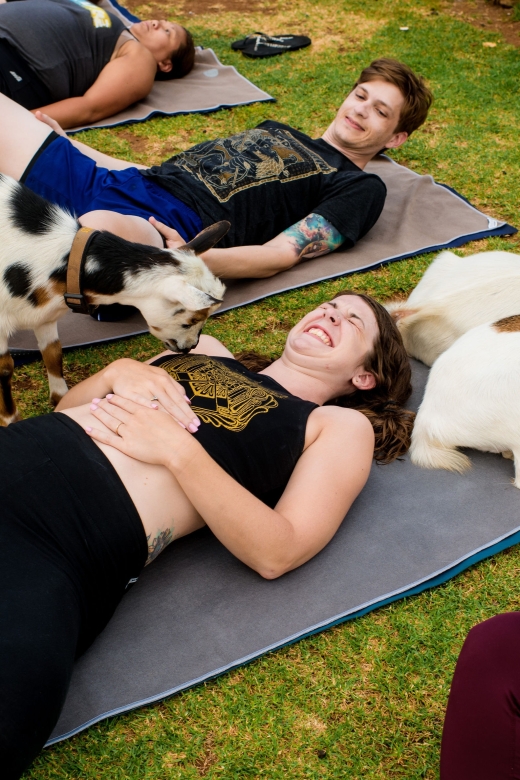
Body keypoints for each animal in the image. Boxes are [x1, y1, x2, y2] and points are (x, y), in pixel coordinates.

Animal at [1, 174, 226, 426]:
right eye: (189, 321)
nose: (191, 347)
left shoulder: (44, 318)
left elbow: (53, 353)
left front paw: (61, 400)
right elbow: (6, 369)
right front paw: (10, 419)